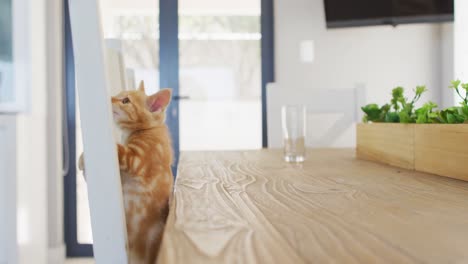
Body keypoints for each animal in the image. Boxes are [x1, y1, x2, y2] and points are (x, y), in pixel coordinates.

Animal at [78, 81, 174, 262]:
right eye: (119, 94)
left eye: (125, 101)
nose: (109, 98)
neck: (148, 129)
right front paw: (82, 161)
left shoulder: (136, 159)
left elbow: (118, 148)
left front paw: (82, 158)